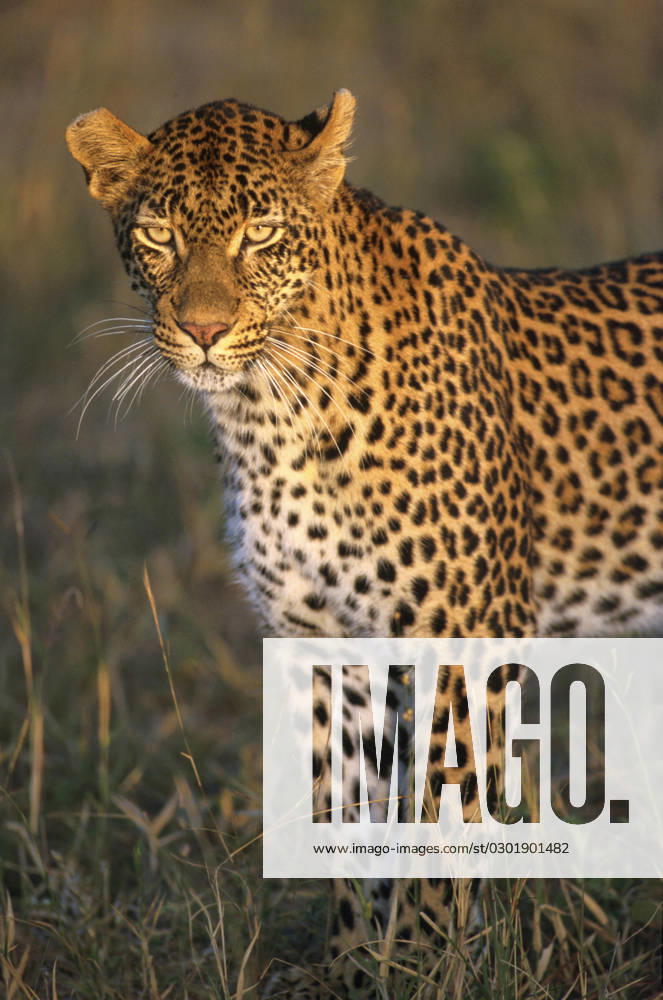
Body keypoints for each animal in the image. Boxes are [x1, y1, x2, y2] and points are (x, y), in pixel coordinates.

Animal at [66, 89, 663, 997]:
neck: (266, 416)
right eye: (158, 234)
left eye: (262, 234)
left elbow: (440, 834)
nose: (203, 329)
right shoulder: (322, 646)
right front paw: (356, 966)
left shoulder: (463, 642)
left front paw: (427, 965)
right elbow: (345, 816)